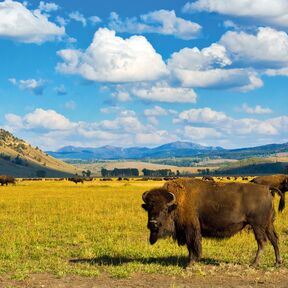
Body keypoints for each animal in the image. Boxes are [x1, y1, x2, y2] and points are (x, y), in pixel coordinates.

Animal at [142, 178, 284, 268]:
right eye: (149, 208)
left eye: (164, 209)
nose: (153, 223)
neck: (176, 203)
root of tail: (266, 188)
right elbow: (190, 247)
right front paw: (190, 262)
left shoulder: (191, 229)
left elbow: (193, 245)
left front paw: (190, 264)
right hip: (268, 224)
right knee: (274, 239)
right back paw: (277, 263)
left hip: (257, 225)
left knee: (262, 242)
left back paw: (254, 264)